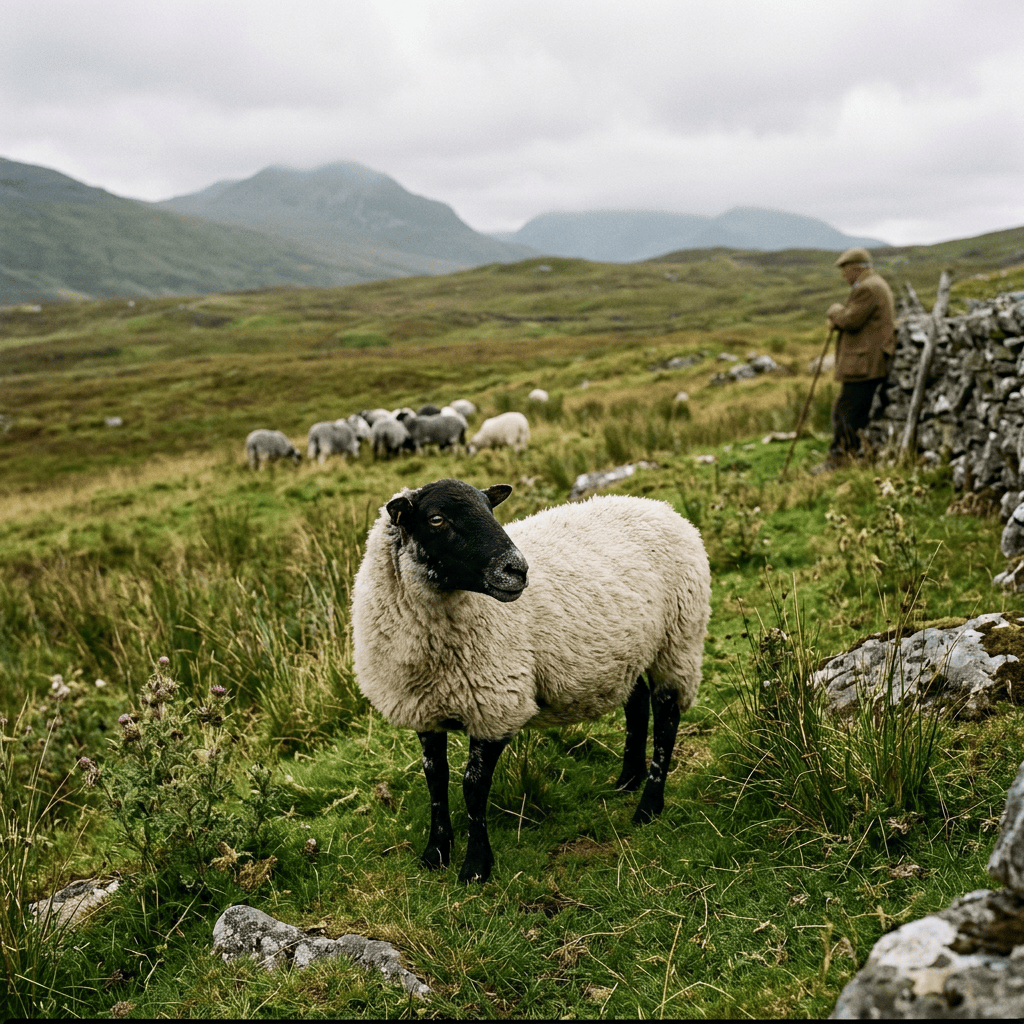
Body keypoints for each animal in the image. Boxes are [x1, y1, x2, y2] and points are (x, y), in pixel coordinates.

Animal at [351, 478, 711, 884]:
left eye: (489, 509)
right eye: (437, 519)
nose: (518, 569)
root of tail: (660, 507)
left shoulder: (497, 705)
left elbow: (473, 787)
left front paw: (476, 865)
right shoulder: (424, 710)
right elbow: (436, 780)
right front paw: (436, 853)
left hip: (678, 639)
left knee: (666, 716)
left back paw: (649, 805)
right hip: (625, 651)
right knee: (637, 705)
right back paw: (627, 780)